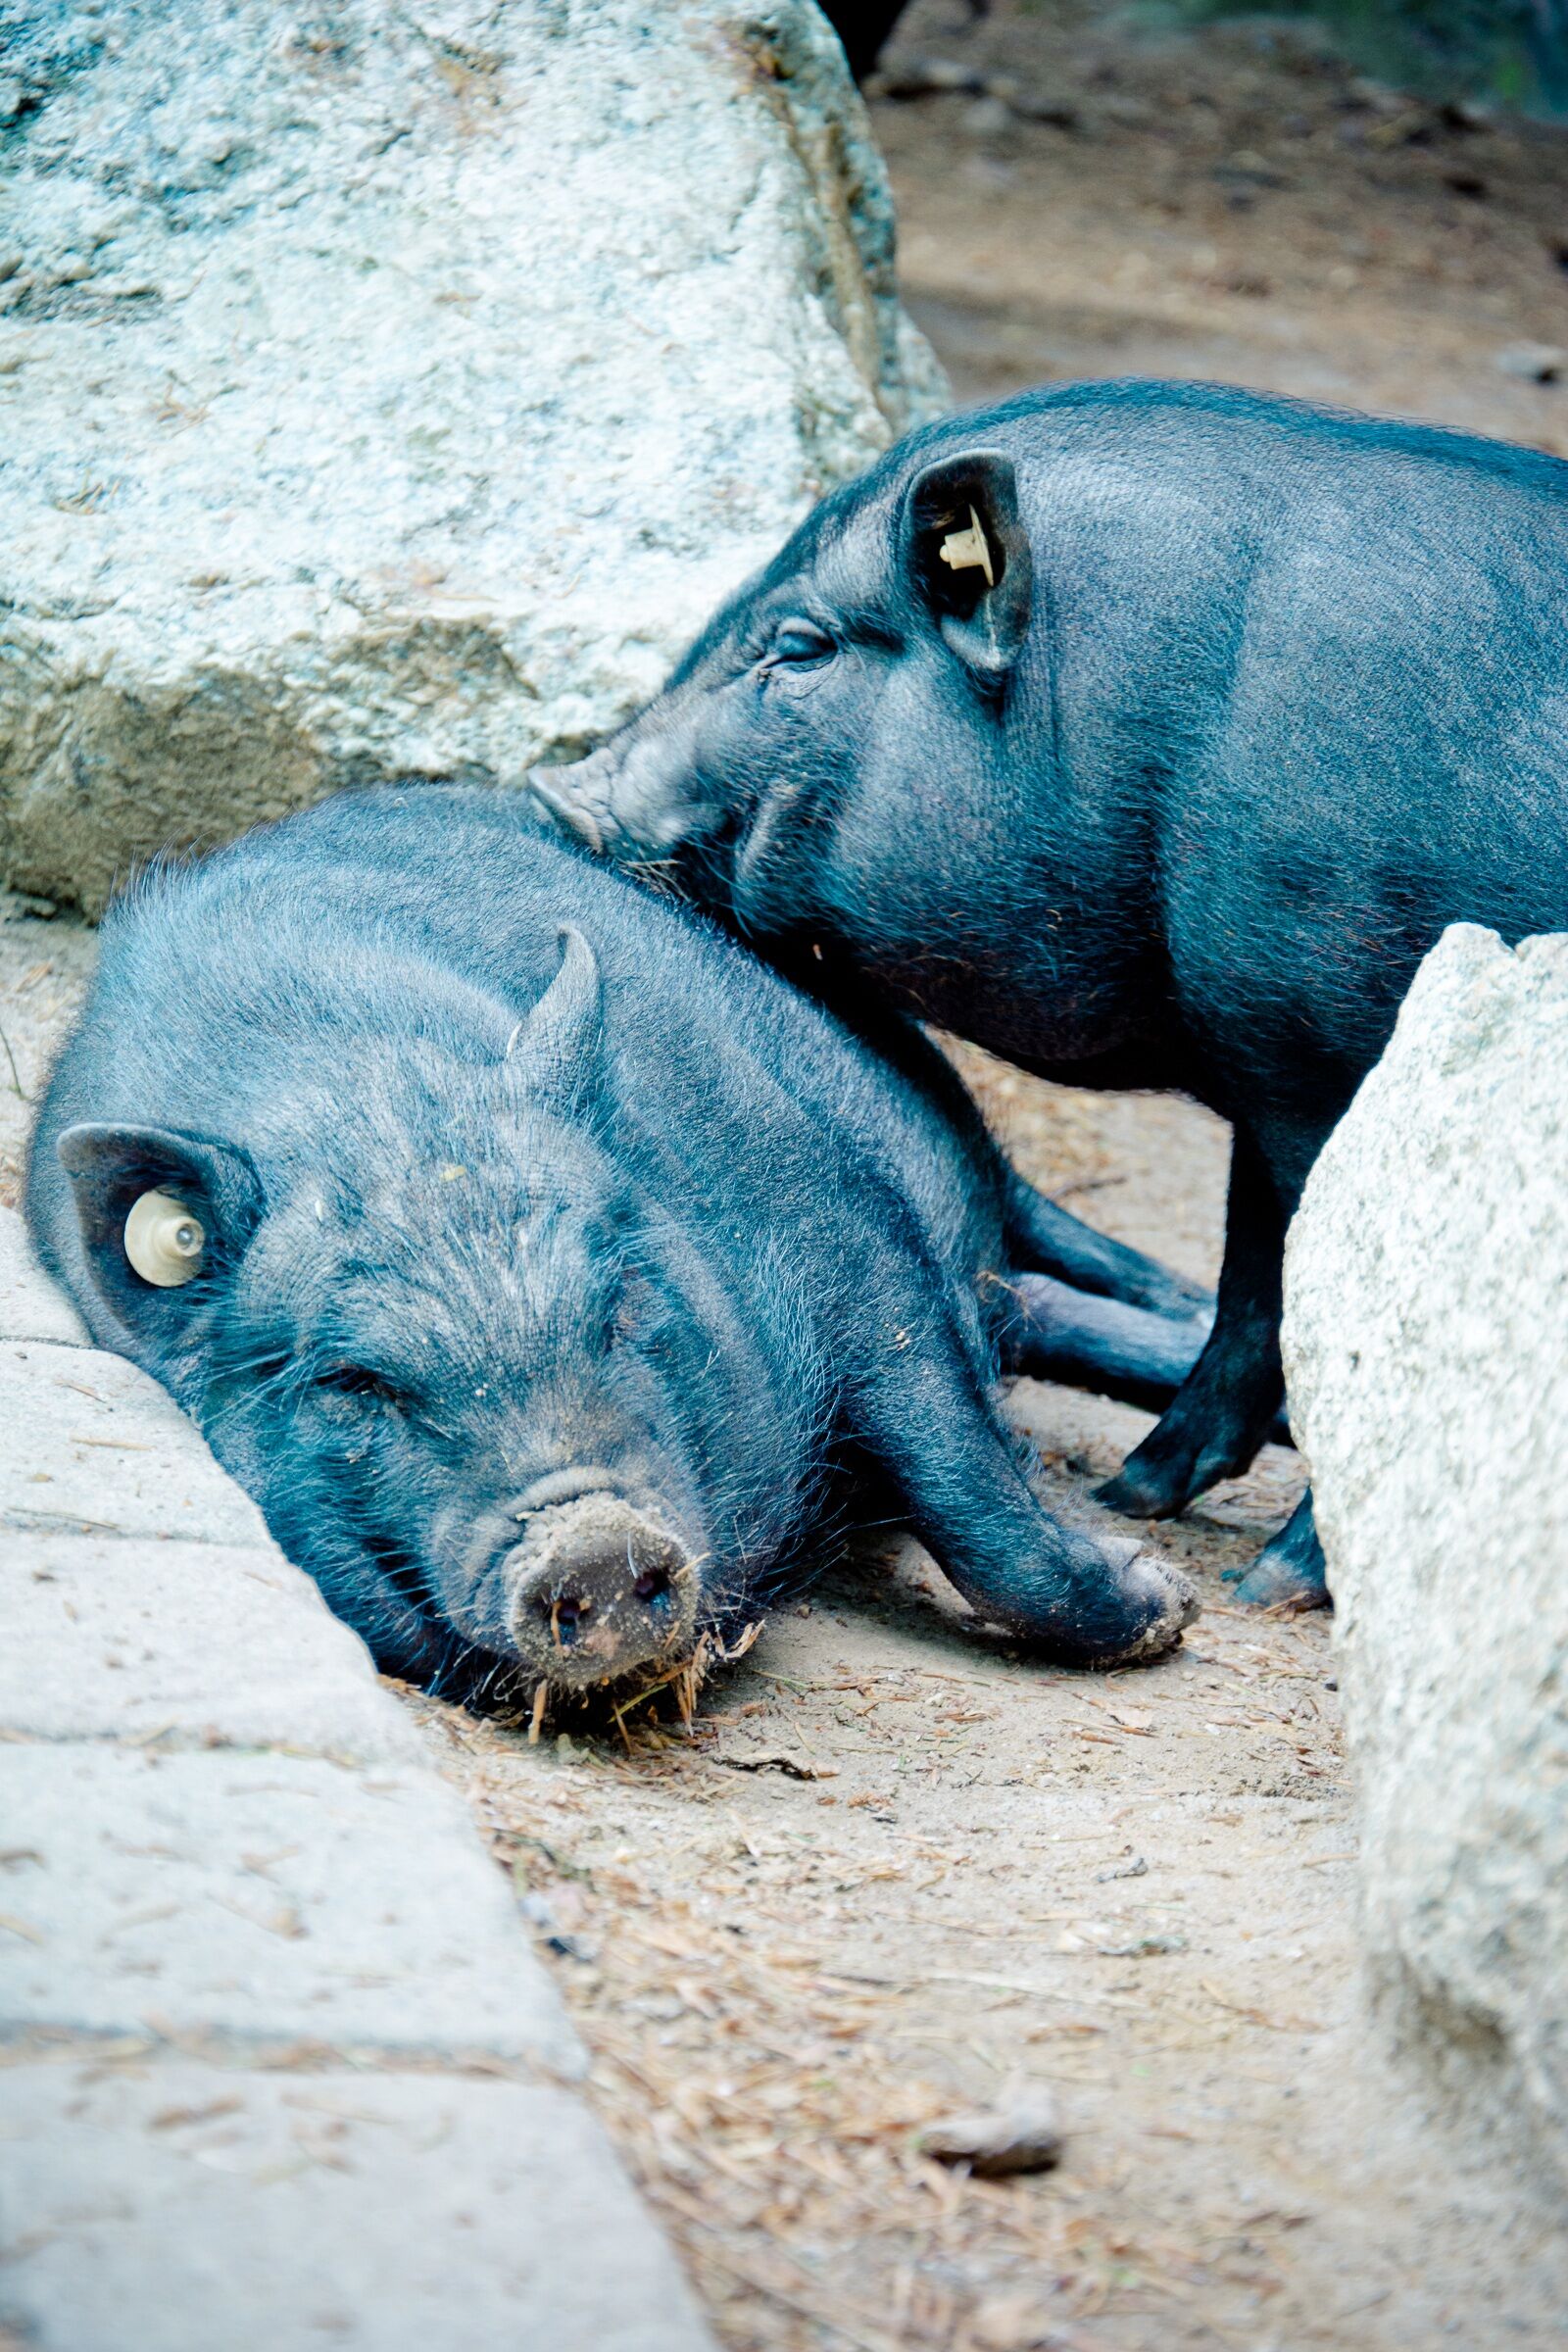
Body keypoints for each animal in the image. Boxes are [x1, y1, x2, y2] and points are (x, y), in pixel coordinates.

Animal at [27, 784, 1207, 1704]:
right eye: (356, 1382)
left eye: (617, 1306)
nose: (591, 1540)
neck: (363, 1099)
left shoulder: (840, 1219)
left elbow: (953, 1455)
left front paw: (1168, 1603)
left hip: (943, 1108)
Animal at [532, 377, 1568, 1608]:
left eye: (798, 646)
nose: (552, 792)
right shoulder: (1264, 1054)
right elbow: (1254, 1274)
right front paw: (1134, 1496)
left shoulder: (1338, 1061)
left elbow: (1353, 1307)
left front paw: (1259, 1590)